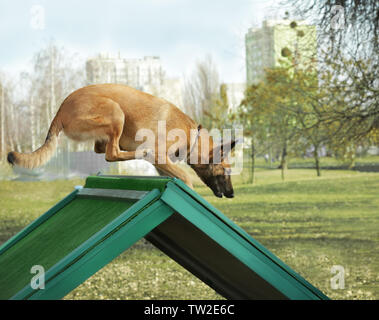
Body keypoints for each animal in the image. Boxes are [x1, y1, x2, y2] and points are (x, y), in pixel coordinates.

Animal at [7, 82, 236, 198]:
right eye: (225, 172)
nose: (232, 194)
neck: (192, 136)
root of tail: (60, 110)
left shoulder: (162, 165)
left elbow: (176, 175)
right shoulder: (161, 157)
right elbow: (186, 177)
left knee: (103, 149)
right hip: (116, 111)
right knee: (112, 153)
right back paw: (139, 151)